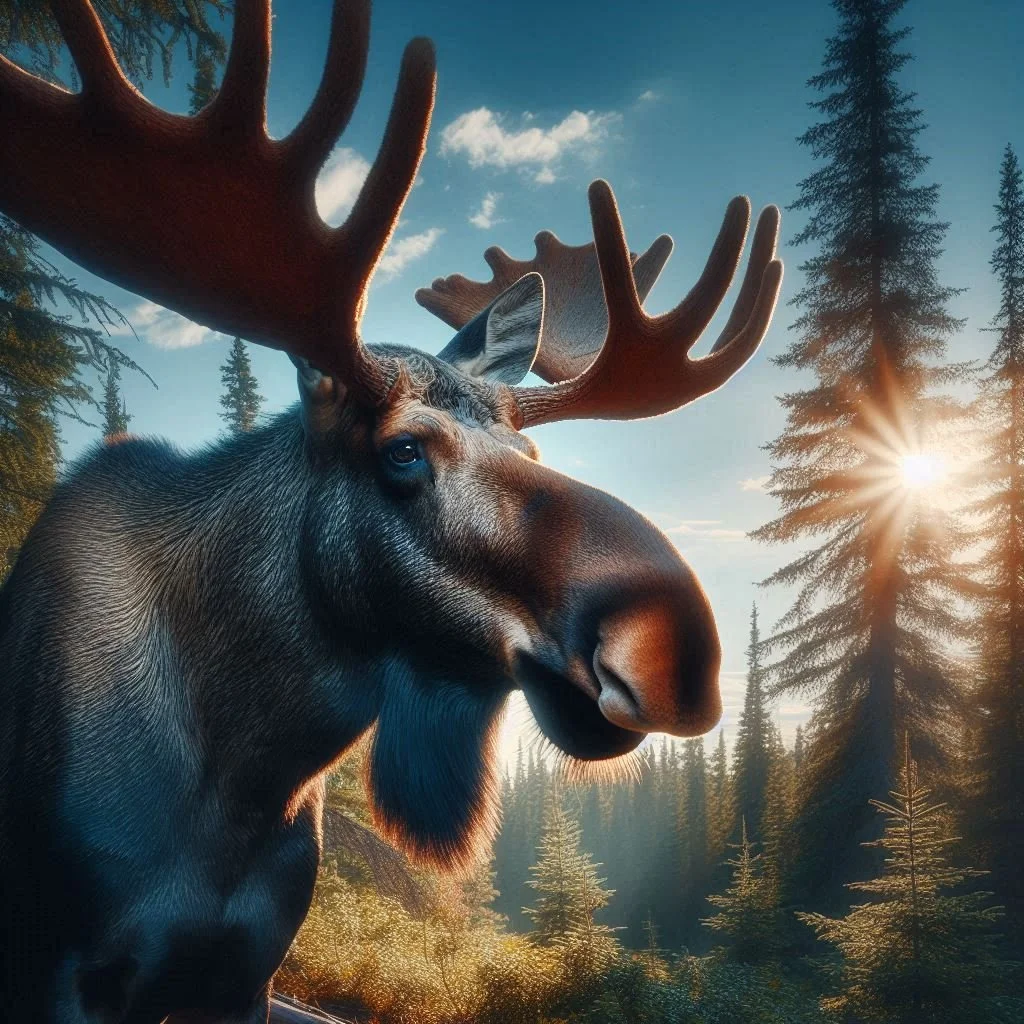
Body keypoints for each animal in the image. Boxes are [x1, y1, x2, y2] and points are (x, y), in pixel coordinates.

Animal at [0, 0, 782, 1020]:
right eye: (403, 452)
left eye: (533, 453)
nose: (675, 647)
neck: (247, 773)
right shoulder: (60, 967)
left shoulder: (247, 970)